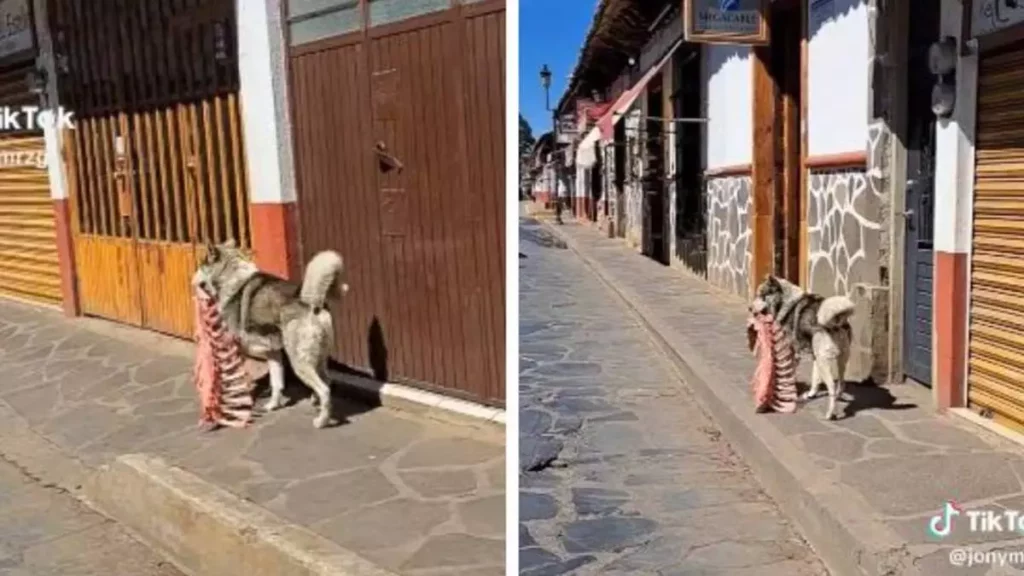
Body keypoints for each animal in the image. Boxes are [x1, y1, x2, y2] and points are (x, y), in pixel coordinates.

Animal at [192, 239, 348, 428]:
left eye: (200, 265)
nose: (191, 280)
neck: (230, 275)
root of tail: (311, 302)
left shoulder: (237, 352)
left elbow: (236, 383)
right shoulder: (273, 352)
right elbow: (276, 383)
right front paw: (273, 405)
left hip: (299, 362)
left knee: (324, 389)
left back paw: (322, 420)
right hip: (318, 358)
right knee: (328, 382)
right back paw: (316, 402)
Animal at [753, 272, 856, 416]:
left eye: (761, 296)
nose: (750, 309)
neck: (786, 303)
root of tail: (836, 321)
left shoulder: (792, 352)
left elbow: (789, 374)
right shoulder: (814, 355)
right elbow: (815, 377)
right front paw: (812, 394)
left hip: (824, 361)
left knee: (831, 386)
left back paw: (830, 413)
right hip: (840, 360)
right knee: (841, 381)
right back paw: (838, 396)